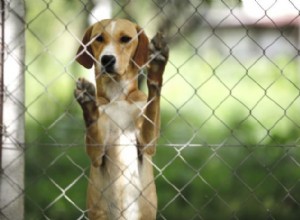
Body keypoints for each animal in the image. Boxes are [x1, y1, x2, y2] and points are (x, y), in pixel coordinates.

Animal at [73, 18, 169, 220]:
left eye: (125, 39)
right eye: (98, 38)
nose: (107, 59)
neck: (116, 95)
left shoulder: (147, 143)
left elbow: (152, 102)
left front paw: (156, 68)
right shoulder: (96, 154)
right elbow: (93, 127)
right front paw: (88, 103)